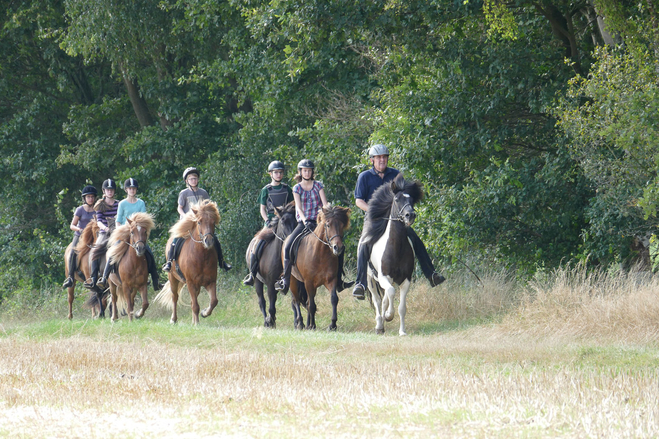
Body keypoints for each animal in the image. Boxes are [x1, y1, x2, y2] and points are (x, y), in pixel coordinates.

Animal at [364, 174, 426, 336]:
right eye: (397, 199)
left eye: (412, 200)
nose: (410, 215)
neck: (396, 248)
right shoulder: (384, 276)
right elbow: (390, 294)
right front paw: (388, 315)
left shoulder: (406, 280)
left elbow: (401, 307)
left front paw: (402, 331)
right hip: (370, 279)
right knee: (377, 299)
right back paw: (379, 325)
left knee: (384, 298)